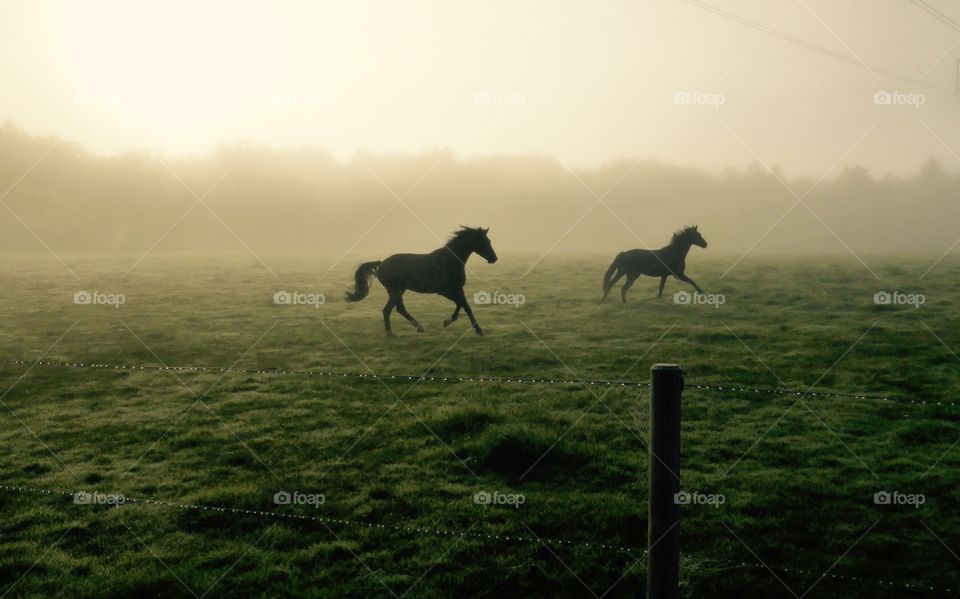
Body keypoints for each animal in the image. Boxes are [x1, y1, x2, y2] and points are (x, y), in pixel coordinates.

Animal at [344, 226, 498, 336]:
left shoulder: (458, 289)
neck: (450, 261)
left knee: (399, 309)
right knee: (388, 310)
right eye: (484, 241)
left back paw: (418, 327)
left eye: (489, 241)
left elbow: (464, 306)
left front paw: (450, 322)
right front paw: (473, 329)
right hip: (395, 290)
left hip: (399, 290)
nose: (494, 258)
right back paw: (391, 333)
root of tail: (381, 264)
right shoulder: (445, 291)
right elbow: (463, 305)